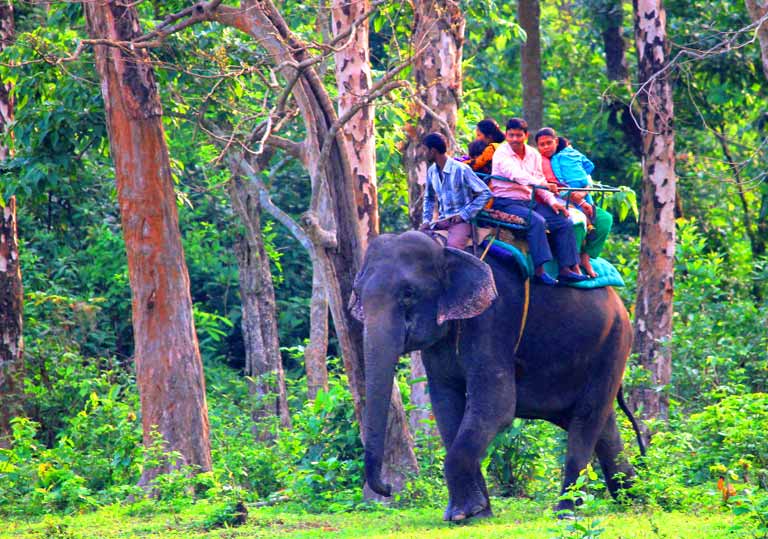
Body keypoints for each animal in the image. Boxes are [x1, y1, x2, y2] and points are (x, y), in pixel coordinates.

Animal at [352, 231, 644, 524]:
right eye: (357, 293)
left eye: (408, 294)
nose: (388, 488)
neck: (445, 248)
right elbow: (446, 407)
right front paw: (477, 513)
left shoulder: (492, 321)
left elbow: (496, 406)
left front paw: (463, 514)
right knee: (602, 425)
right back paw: (636, 496)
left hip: (614, 344)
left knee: (587, 418)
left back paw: (566, 513)